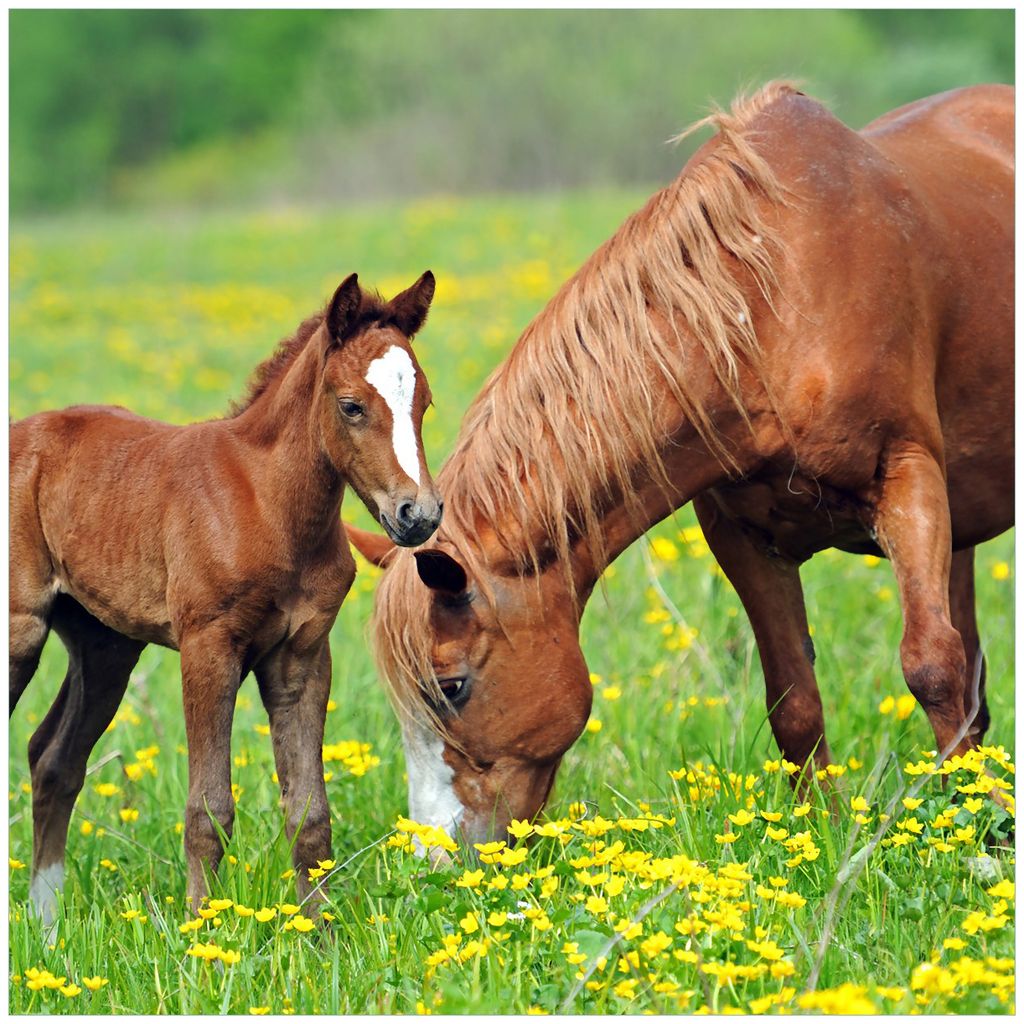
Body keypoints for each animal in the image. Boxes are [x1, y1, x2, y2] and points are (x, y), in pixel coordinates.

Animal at [10, 271, 443, 922]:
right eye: (351, 406)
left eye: (424, 403)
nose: (418, 515)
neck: (267, 504)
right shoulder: (208, 646)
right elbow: (207, 810)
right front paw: (201, 931)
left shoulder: (302, 657)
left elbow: (310, 814)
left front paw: (319, 934)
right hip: (22, 631)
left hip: (105, 647)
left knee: (54, 758)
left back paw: (46, 922)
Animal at [349, 82, 1014, 850]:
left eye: (451, 686)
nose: (436, 856)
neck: (775, 304)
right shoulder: (743, 536)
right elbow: (794, 701)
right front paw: (816, 838)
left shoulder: (907, 479)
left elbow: (932, 664)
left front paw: (982, 833)